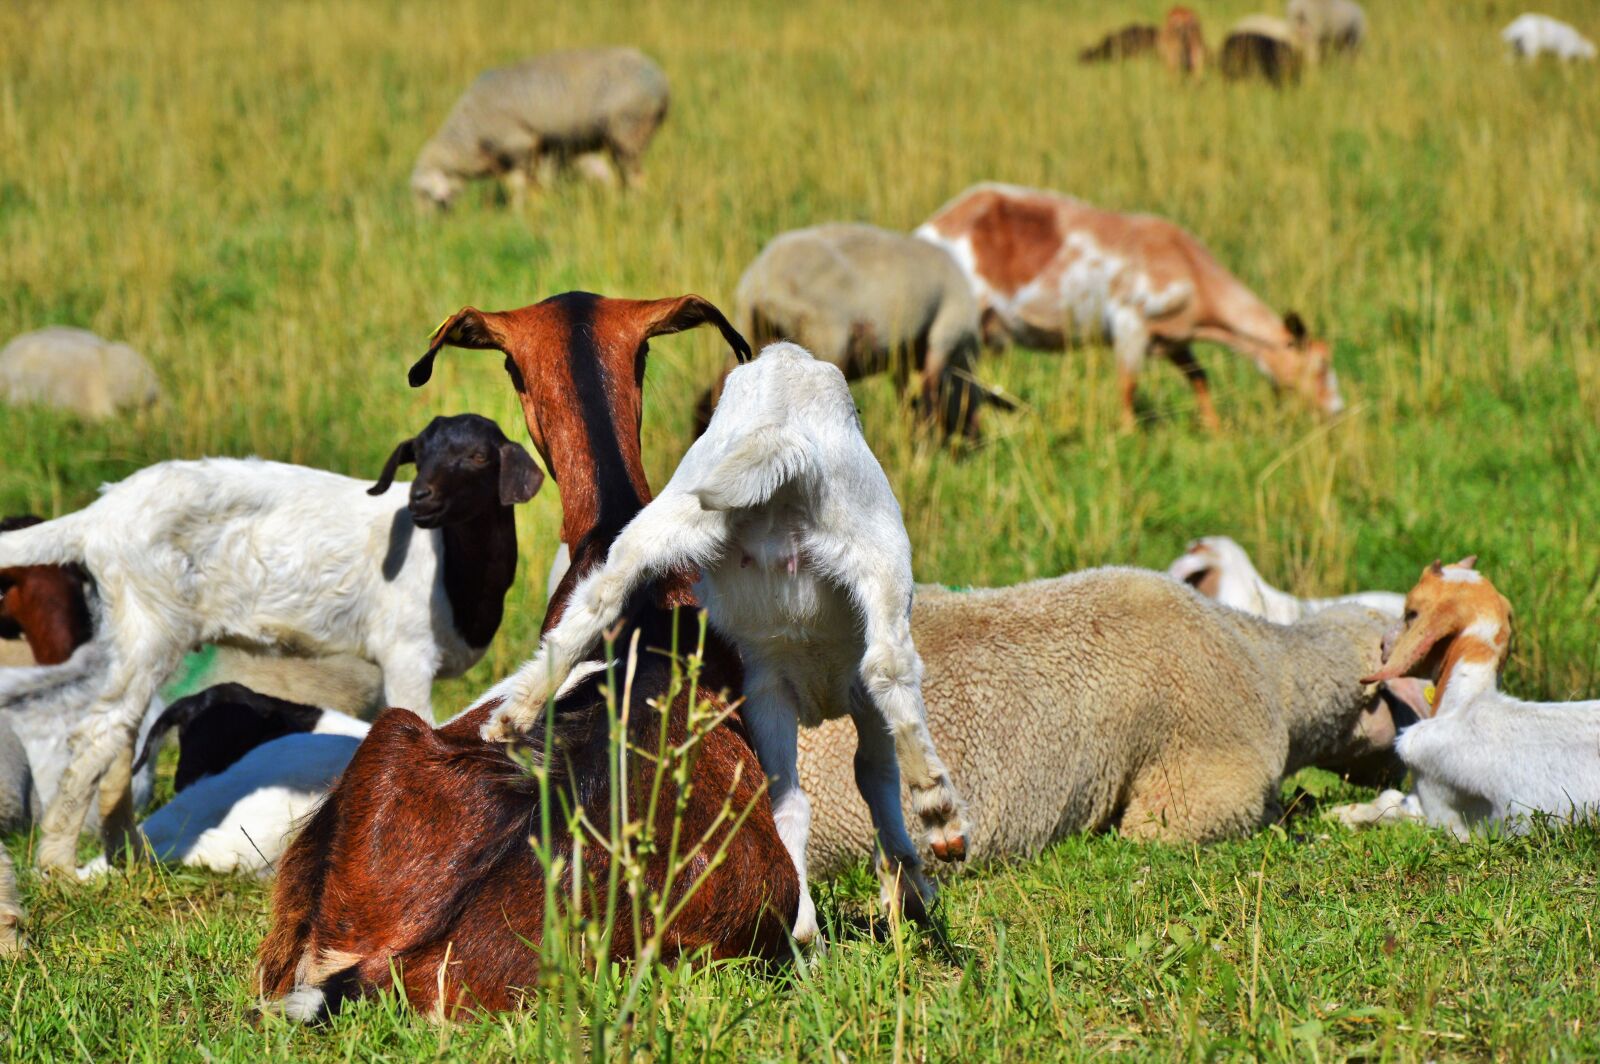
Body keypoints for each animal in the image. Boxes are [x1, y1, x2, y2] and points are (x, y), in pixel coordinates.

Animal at [0, 413, 541, 872]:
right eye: (419, 454)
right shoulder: (406, 651)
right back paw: (58, 867)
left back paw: (125, 853)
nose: (420, 500)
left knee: (122, 732)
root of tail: (100, 516)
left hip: (133, 627)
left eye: (478, 456)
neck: (452, 565)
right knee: (99, 735)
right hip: (150, 617)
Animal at [476, 338, 971, 943]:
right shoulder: (851, 703)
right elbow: (875, 777)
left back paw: (514, 714)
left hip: (677, 518)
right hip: (876, 544)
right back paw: (940, 814)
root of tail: (780, 431)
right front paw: (911, 887)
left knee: (604, 593)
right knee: (890, 665)